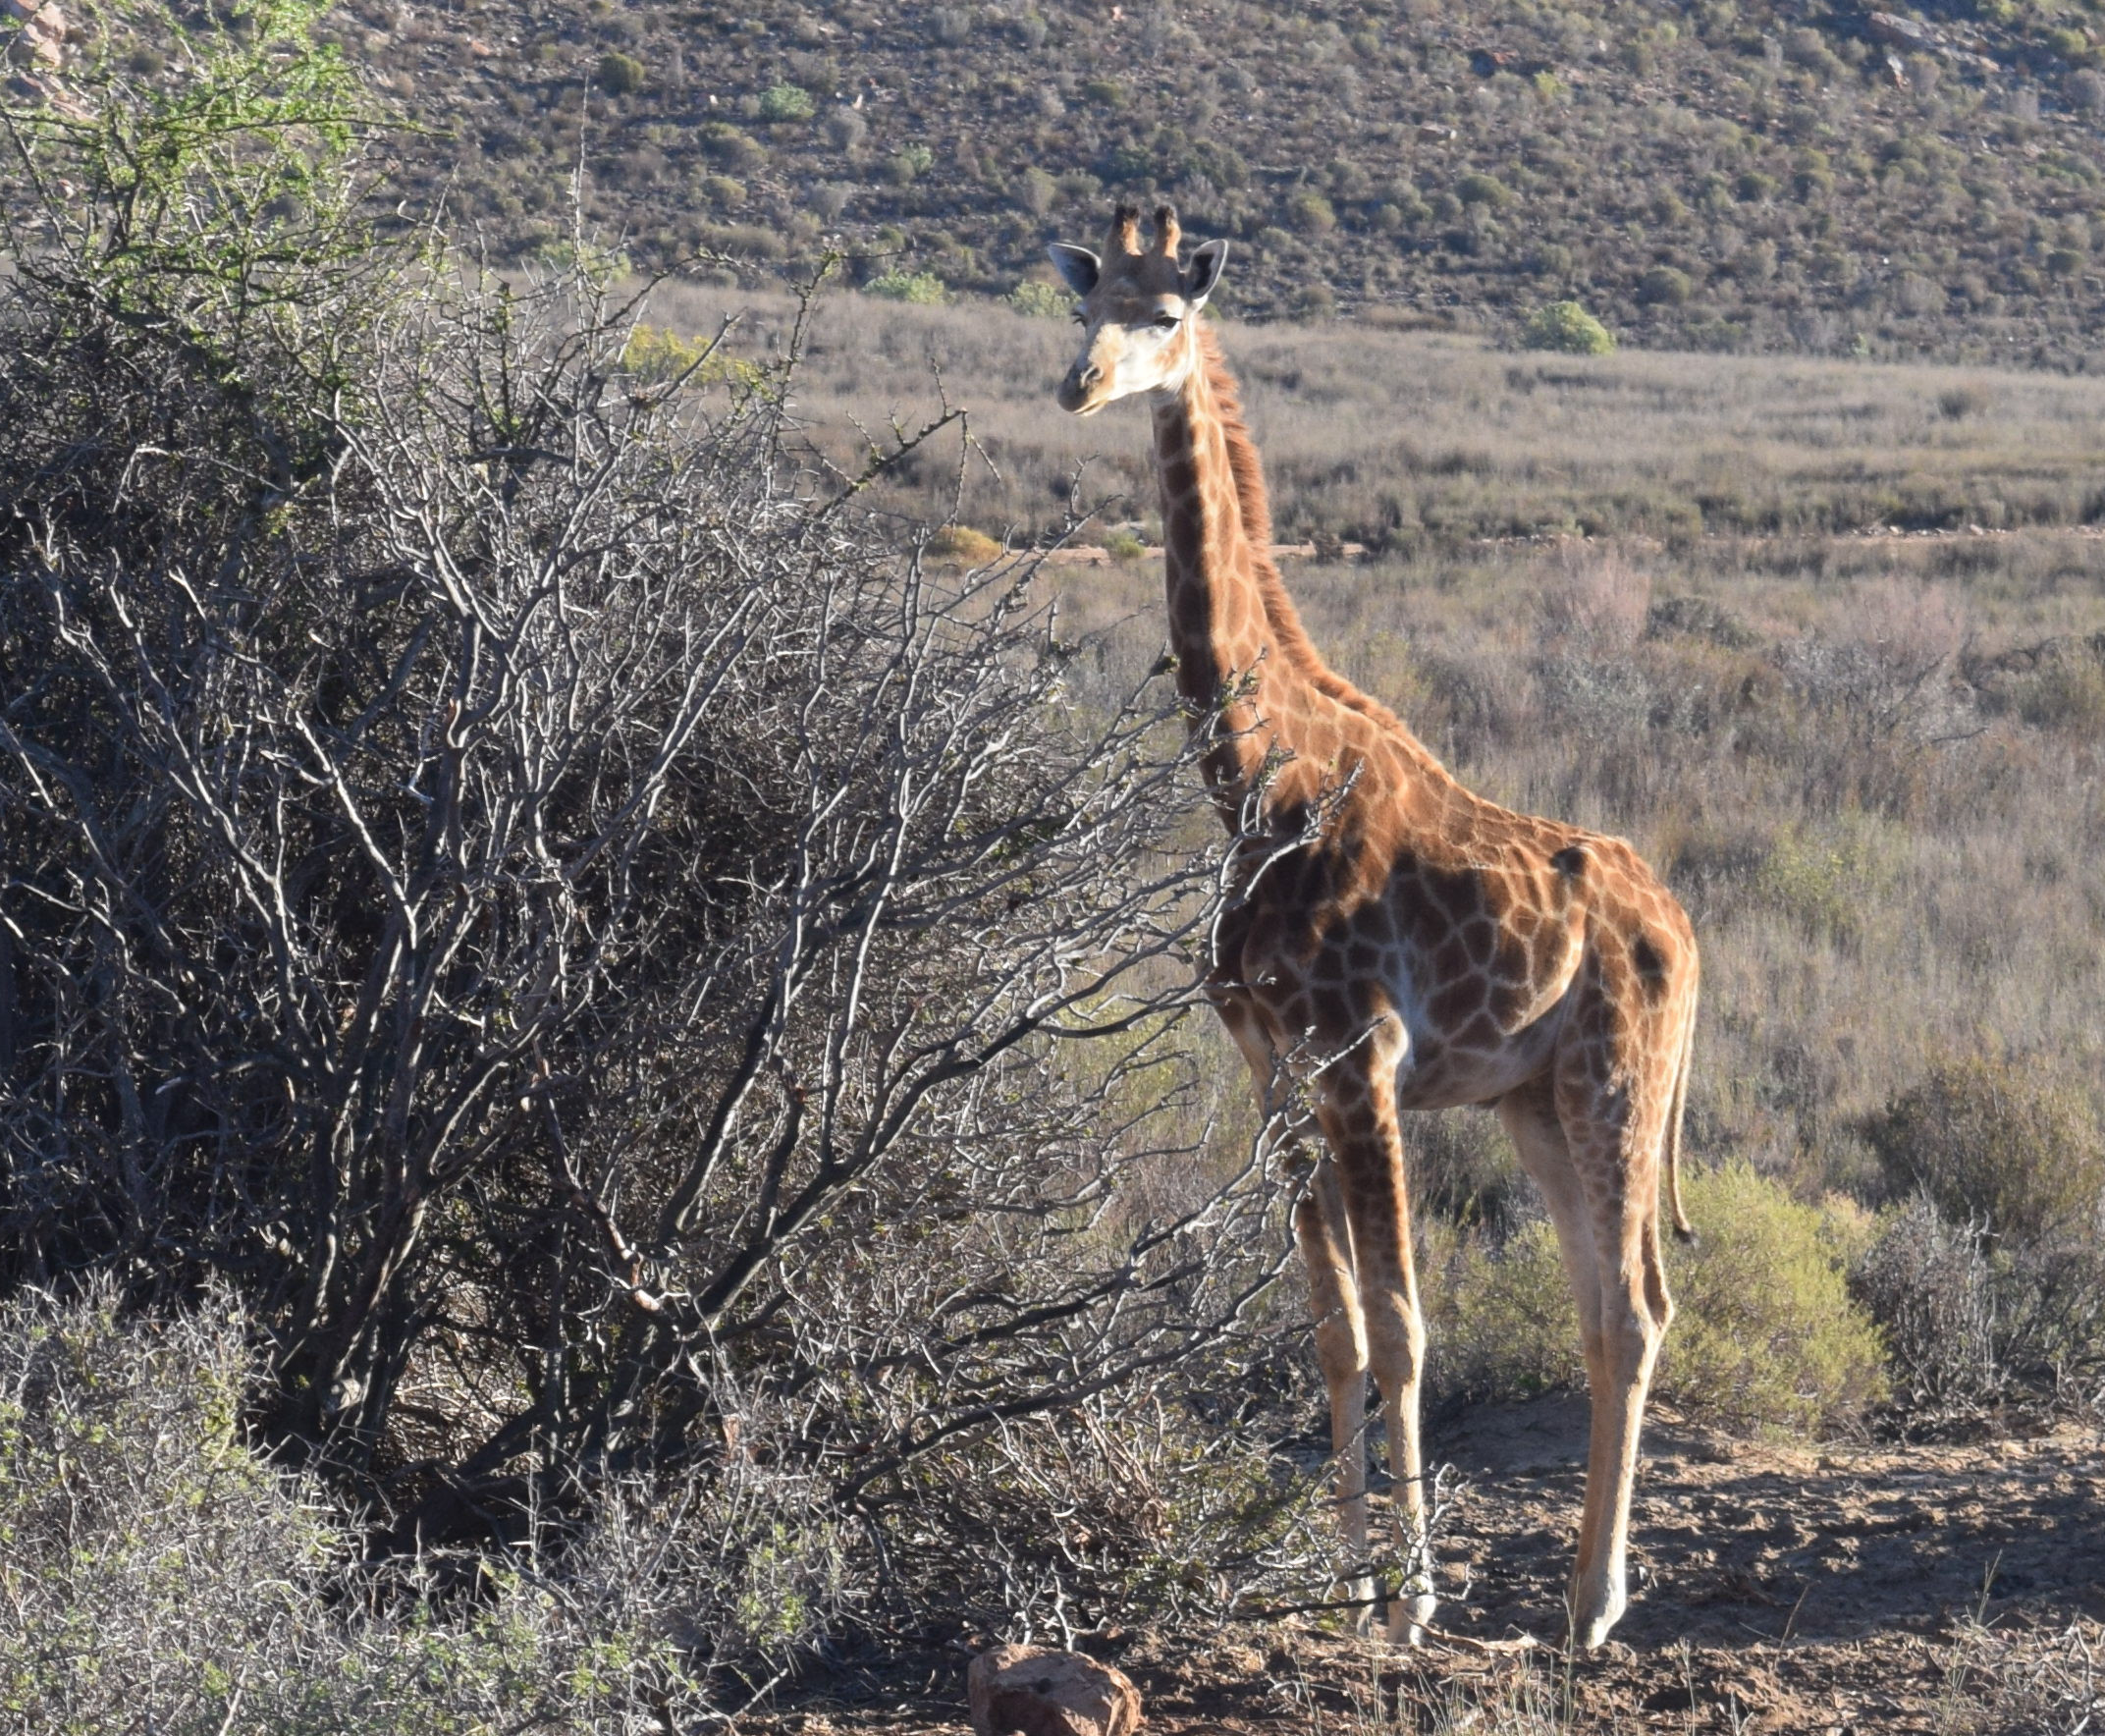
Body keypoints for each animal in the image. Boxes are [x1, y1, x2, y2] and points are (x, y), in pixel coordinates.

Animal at [1045, 205, 1700, 1650]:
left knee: (1634, 1307)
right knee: (1602, 1308)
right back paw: (1573, 1601)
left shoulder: (1365, 1062)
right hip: (1533, 1100)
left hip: (1616, 1078)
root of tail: (1686, 931)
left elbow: (1404, 1325)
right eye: (1078, 303)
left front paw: (1414, 1607)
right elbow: (1334, 1327)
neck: (1255, 776)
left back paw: (1596, 1607)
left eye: (1165, 314)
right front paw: (1348, 1593)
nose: (1077, 386)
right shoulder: (1274, 1067)